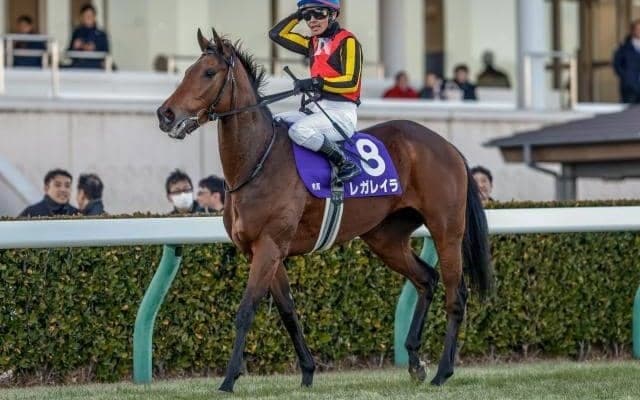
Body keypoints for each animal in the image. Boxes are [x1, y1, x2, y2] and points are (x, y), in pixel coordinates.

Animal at [157, 28, 492, 393]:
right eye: (187, 71)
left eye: (208, 73)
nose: (165, 114)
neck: (257, 160)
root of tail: (448, 146)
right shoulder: (262, 251)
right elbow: (288, 311)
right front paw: (307, 372)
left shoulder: (269, 245)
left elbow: (246, 310)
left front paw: (229, 378)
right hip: (386, 238)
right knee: (426, 279)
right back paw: (415, 361)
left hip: (446, 230)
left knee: (455, 294)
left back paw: (443, 371)